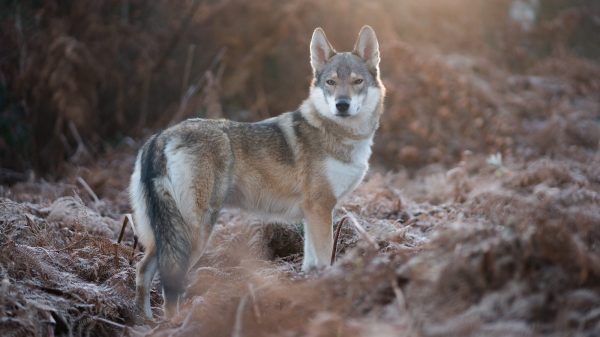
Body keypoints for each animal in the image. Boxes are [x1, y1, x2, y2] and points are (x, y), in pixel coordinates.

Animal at [129, 25, 386, 316]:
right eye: (331, 82)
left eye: (357, 81)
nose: (342, 105)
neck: (340, 135)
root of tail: (161, 136)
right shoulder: (321, 209)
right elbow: (324, 260)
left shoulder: (311, 215)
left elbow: (310, 263)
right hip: (194, 234)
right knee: (168, 283)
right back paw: (174, 321)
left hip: (164, 235)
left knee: (142, 270)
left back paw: (145, 320)